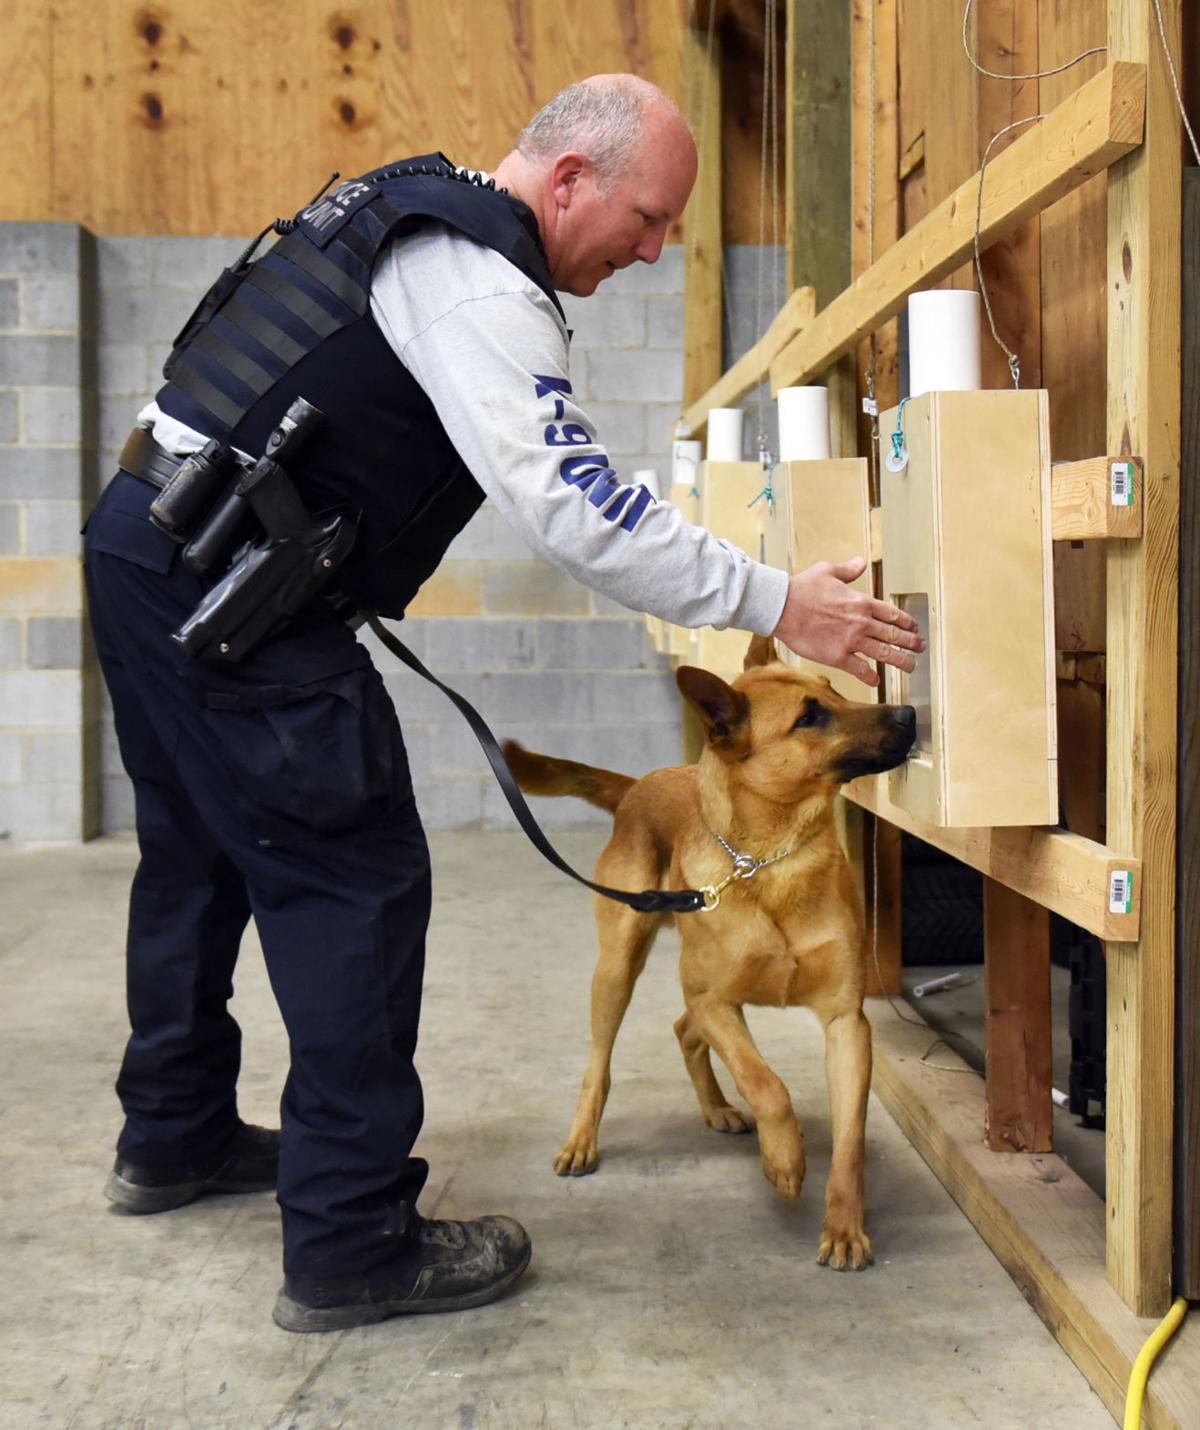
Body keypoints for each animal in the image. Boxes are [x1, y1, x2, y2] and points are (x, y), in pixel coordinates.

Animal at [503, 643, 915, 1269]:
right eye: (810, 716)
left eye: (833, 689)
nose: (910, 714)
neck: (768, 863)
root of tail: (639, 785)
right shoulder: (716, 1001)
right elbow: (767, 1085)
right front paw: (785, 1157)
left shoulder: (846, 1023)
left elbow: (850, 1141)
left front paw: (845, 1228)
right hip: (618, 971)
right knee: (601, 1064)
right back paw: (582, 1140)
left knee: (683, 1030)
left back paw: (717, 1108)